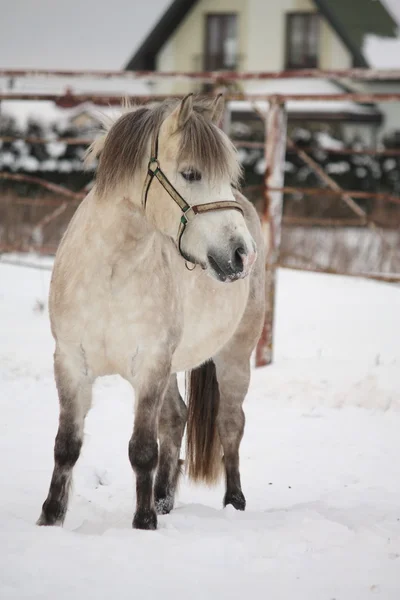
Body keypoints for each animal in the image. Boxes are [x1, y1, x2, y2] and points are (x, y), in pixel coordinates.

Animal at [37, 92, 266, 528]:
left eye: (228, 175)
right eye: (191, 173)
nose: (242, 254)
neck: (111, 270)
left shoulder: (150, 365)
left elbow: (142, 449)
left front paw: (143, 522)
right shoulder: (71, 362)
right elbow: (65, 445)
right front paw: (51, 517)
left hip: (234, 358)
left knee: (231, 425)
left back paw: (234, 501)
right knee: (175, 419)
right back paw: (163, 498)